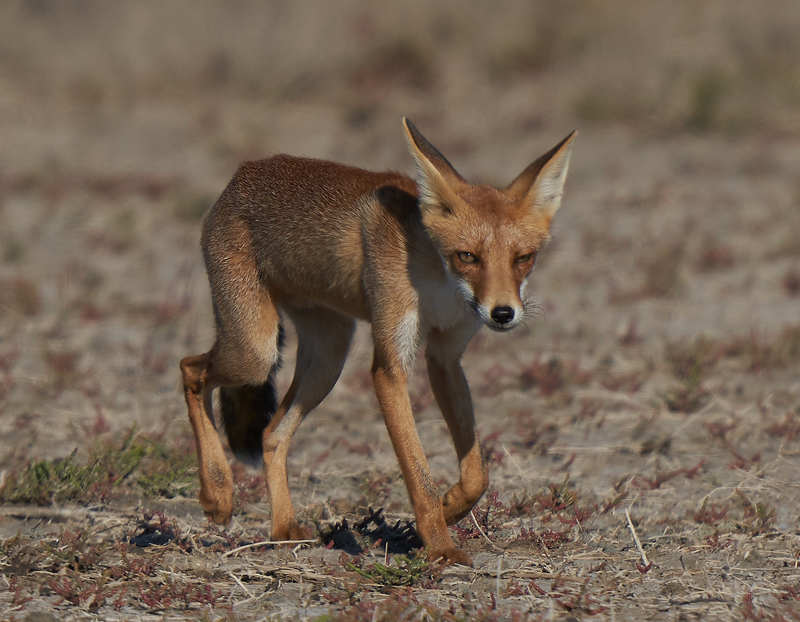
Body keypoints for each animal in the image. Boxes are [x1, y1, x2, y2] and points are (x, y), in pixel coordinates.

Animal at [179, 118, 576, 565]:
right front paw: (440, 548)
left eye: (523, 258)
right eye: (467, 256)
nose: (503, 313)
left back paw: (281, 529)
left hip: (326, 360)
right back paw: (217, 491)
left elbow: (476, 474)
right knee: (191, 369)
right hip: (254, 352)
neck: (437, 282)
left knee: (271, 435)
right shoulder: (389, 365)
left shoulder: (445, 358)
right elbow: (418, 474)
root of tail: (241, 175)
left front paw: (449, 509)